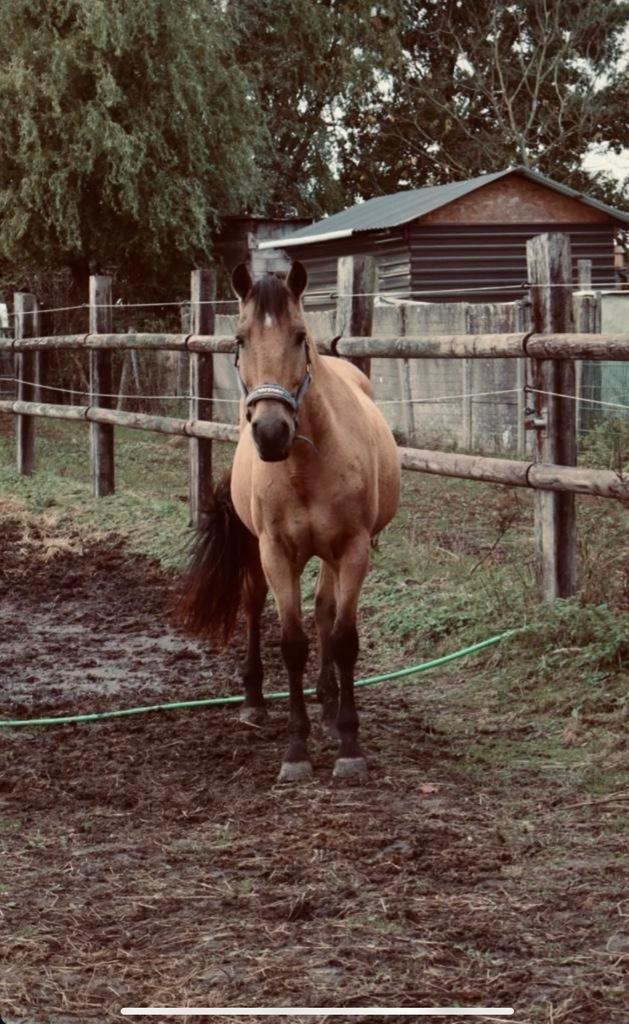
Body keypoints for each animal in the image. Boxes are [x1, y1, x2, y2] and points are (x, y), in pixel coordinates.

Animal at [179, 260, 400, 781]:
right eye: (239, 339)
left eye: (300, 336)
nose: (271, 432)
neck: (304, 466)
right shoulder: (276, 552)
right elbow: (293, 643)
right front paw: (296, 750)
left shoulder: (352, 550)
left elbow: (342, 638)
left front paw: (348, 744)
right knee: (253, 602)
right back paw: (254, 700)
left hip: (332, 556)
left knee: (324, 612)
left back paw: (328, 704)